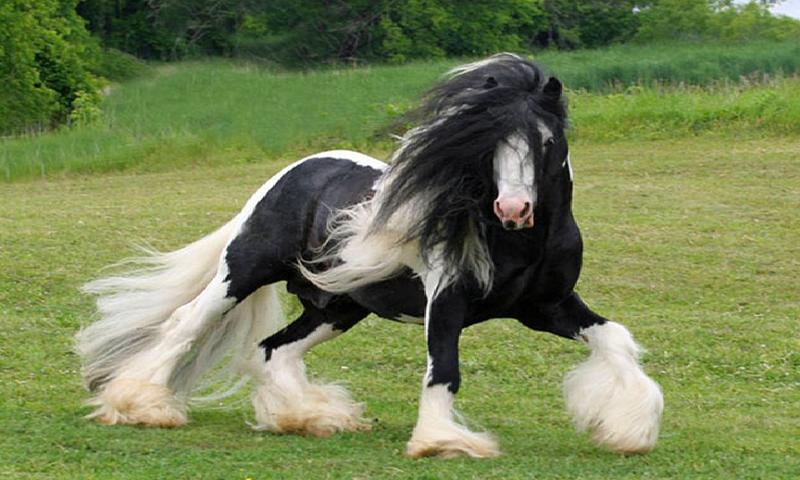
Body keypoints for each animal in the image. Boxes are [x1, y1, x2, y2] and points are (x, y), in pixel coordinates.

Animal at [76, 53, 663, 459]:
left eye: (545, 141)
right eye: (487, 143)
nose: (514, 208)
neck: (520, 243)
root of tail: (295, 172)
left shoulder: (548, 307)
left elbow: (615, 338)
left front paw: (629, 428)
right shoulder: (447, 303)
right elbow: (444, 370)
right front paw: (441, 443)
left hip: (338, 307)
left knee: (273, 350)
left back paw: (310, 417)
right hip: (242, 271)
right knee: (184, 325)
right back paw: (141, 405)